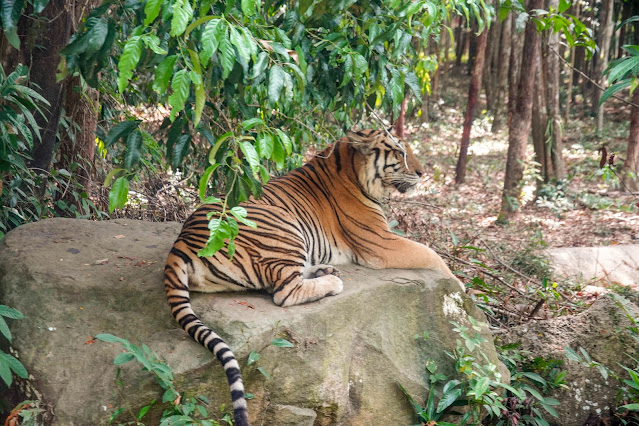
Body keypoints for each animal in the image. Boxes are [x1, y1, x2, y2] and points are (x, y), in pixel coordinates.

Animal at [165, 128, 464, 424]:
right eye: (400, 152)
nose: (422, 173)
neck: (350, 167)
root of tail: (181, 241)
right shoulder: (380, 242)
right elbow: (432, 255)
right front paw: (459, 289)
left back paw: (325, 269)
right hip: (284, 229)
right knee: (284, 292)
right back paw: (332, 281)